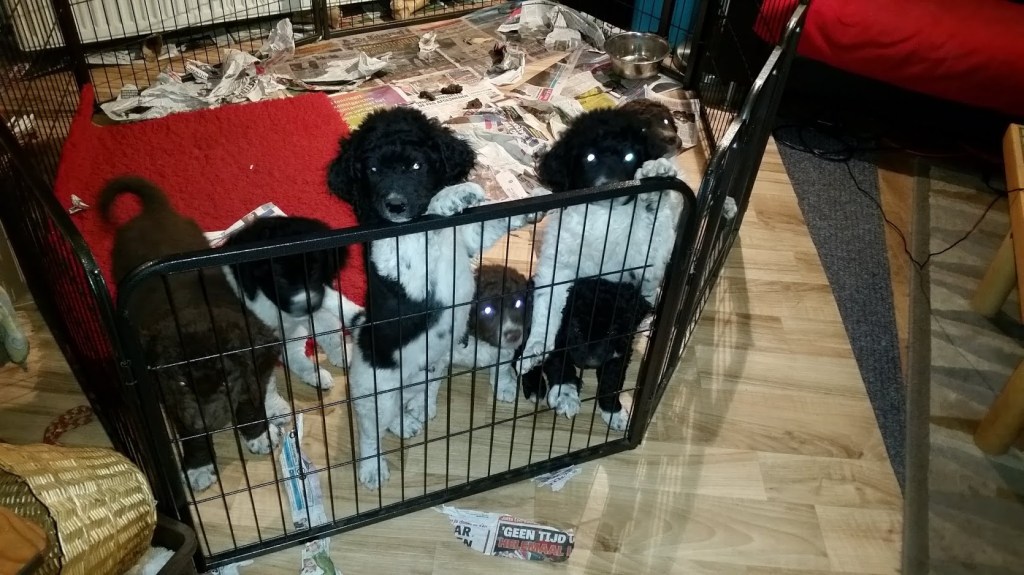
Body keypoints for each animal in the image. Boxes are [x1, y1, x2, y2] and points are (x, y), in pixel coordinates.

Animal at [99, 176, 290, 493]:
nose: (204, 424)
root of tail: (154, 212)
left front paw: (258, 434)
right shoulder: (172, 399)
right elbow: (190, 436)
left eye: (226, 381)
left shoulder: (253, 367)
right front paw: (198, 466)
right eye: (180, 381)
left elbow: (250, 404)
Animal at [220, 216, 364, 390]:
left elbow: (329, 330)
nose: (307, 306)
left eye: (314, 271)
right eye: (281, 280)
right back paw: (314, 374)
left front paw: (341, 351)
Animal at [450, 264, 532, 402]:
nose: (514, 335)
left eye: (519, 303)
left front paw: (505, 387)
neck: (481, 340)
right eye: (487, 310)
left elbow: (502, 367)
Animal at [521, 277, 653, 430]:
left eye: (612, 332)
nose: (592, 363)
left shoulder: (620, 351)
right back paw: (535, 388)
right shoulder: (556, 342)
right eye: (577, 329)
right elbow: (561, 366)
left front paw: (614, 414)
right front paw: (566, 394)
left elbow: (610, 383)